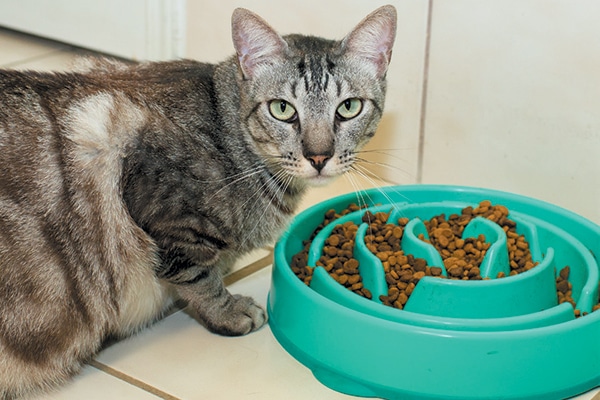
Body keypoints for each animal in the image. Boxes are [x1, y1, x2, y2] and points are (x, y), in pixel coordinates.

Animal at [1, 4, 398, 398]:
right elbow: (200, 278)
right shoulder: (165, 212)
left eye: (349, 107)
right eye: (282, 109)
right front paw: (228, 311)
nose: (318, 156)